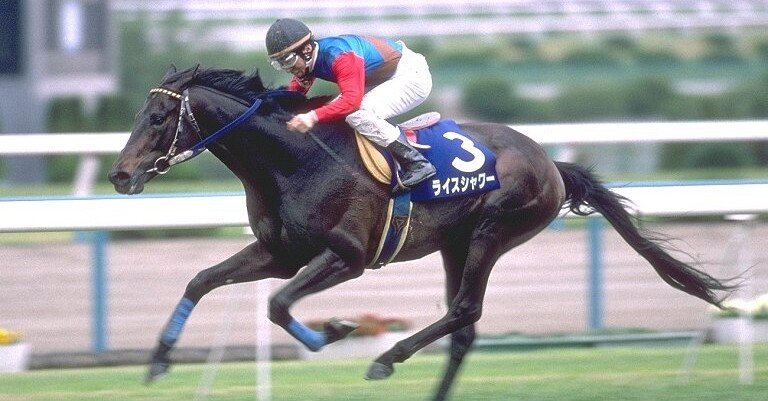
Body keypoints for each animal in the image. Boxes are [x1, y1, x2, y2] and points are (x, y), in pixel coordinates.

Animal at [108, 65, 734, 401]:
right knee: (464, 328)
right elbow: (201, 279)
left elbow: (279, 305)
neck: (291, 159)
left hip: (491, 232)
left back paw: (388, 357)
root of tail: (553, 165)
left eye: (159, 118)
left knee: (464, 312)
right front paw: (158, 362)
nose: (119, 175)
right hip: (457, 243)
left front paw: (335, 331)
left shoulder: (348, 256)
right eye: (140, 115)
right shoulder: (279, 251)